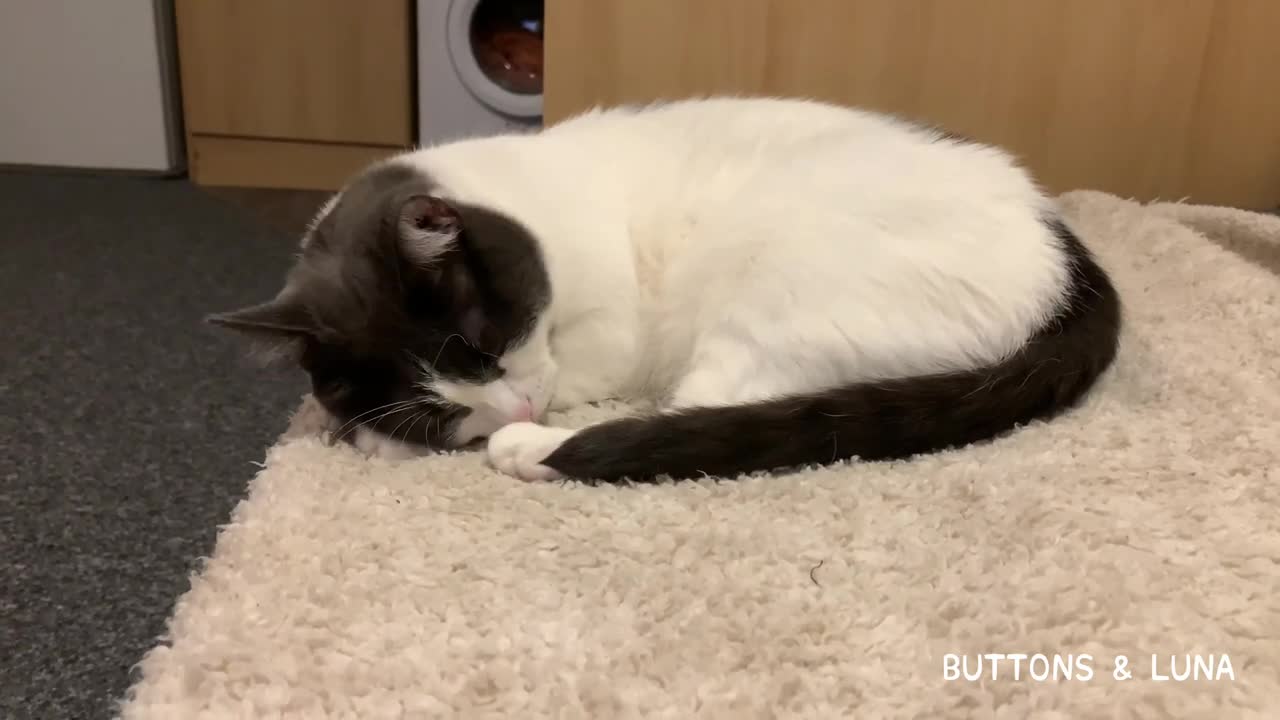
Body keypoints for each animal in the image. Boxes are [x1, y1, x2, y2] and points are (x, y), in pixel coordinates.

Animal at [209, 92, 1121, 479]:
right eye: (444, 388)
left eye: (485, 345)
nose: (515, 407)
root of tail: (1064, 257)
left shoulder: (604, 335)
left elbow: (581, 369)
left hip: (781, 277)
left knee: (702, 408)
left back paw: (536, 453)